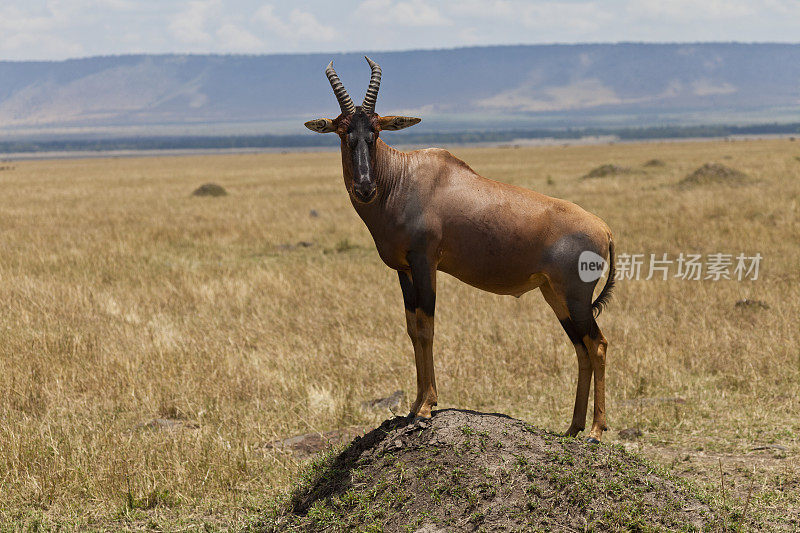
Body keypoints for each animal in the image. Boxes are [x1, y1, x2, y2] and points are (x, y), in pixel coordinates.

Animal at [306, 57, 620, 440]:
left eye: (376, 131)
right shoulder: (404, 270)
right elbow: (413, 329)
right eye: (342, 132)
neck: (403, 177)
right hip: (555, 296)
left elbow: (427, 327)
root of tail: (603, 228)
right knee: (581, 348)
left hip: (576, 297)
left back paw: (595, 431)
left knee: (598, 345)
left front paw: (426, 407)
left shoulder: (425, 263)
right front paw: (414, 406)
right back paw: (572, 428)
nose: (365, 188)